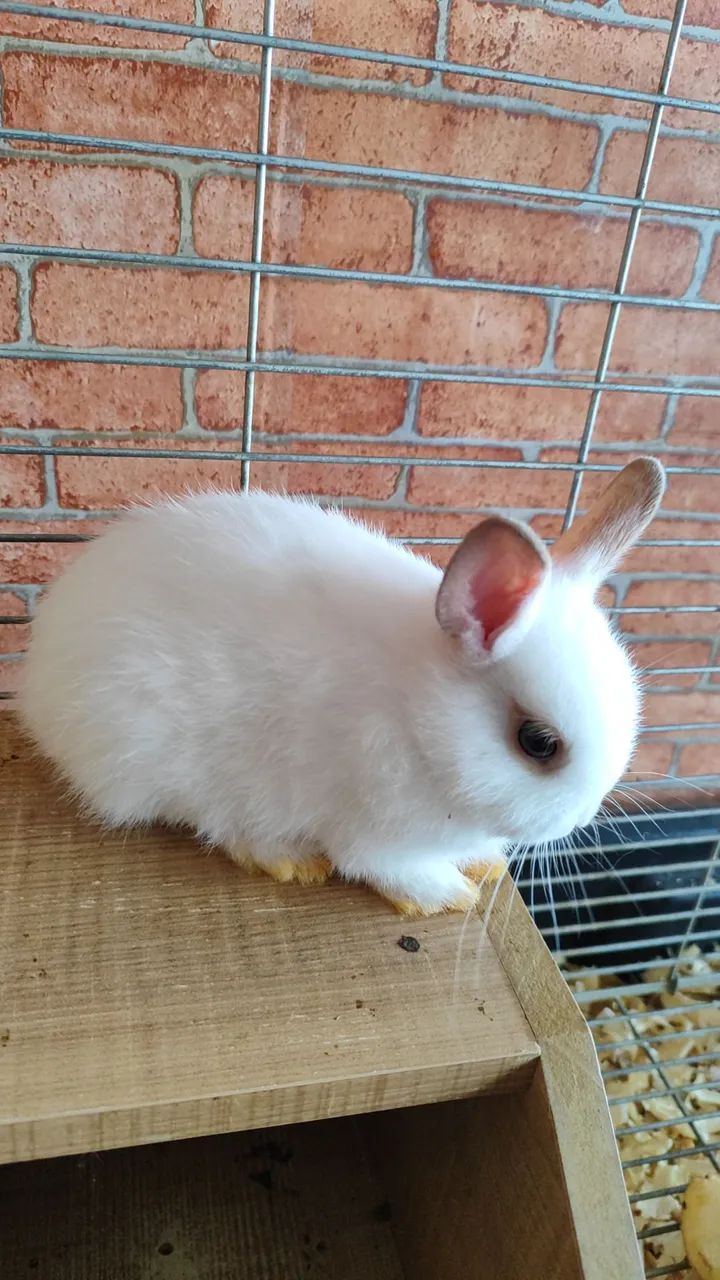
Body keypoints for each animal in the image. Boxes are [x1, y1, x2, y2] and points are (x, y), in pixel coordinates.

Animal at [19, 456, 665, 916]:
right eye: (538, 742)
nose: (581, 820)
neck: (416, 718)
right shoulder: (374, 830)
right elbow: (383, 867)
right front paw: (446, 895)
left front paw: (481, 862)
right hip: (162, 754)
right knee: (217, 818)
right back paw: (290, 860)